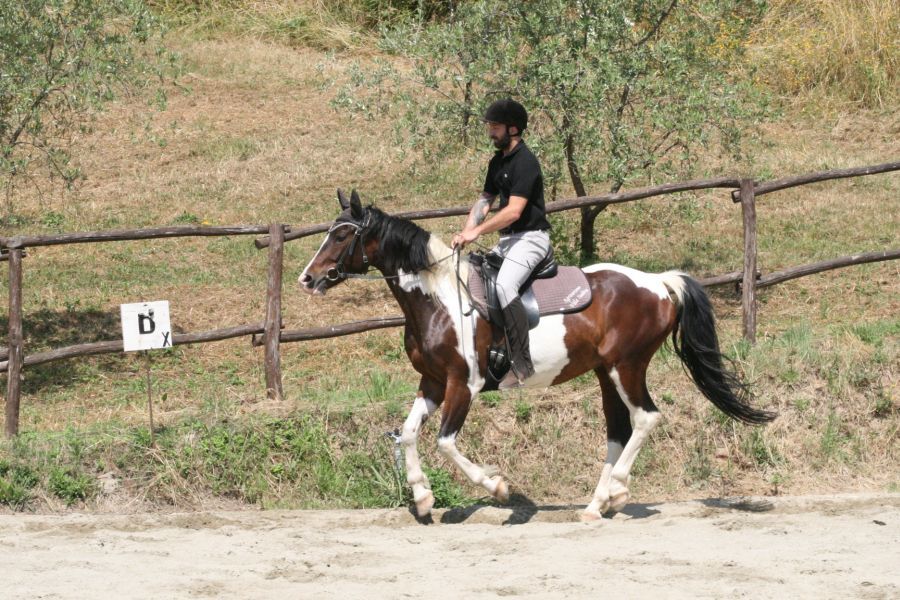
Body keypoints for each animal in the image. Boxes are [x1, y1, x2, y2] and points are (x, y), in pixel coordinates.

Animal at [298, 189, 772, 520]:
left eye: (342, 234)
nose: (308, 278)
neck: (439, 298)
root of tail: (659, 282)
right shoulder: (431, 382)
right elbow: (411, 434)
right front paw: (423, 497)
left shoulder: (462, 385)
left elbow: (446, 442)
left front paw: (497, 487)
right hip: (605, 372)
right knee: (618, 429)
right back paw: (595, 505)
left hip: (627, 366)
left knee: (646, 418)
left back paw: (617, 491)